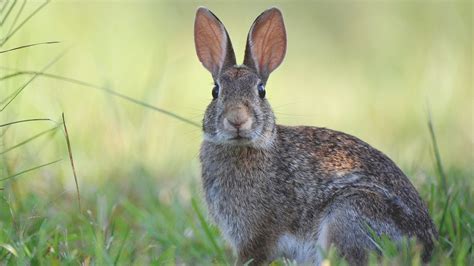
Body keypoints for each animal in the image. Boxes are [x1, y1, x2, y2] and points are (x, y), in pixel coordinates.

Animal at [193, 6, 436, 266]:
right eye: (215, 91)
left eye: (261, 91)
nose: (237, 119)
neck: (246, 147)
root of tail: (425, 247)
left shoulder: (258, 237)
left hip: (349, 214)